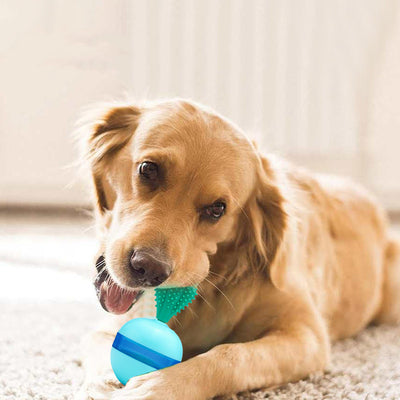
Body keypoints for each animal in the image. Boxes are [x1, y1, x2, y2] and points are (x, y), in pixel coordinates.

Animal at [75, 99, 400, 400]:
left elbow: (231, 355)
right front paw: (104, 381)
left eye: (217, 209)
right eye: (148, 169)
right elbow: (100, 342)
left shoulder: (307, 335)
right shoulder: (110, 322)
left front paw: (161, 386)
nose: (148, 269)